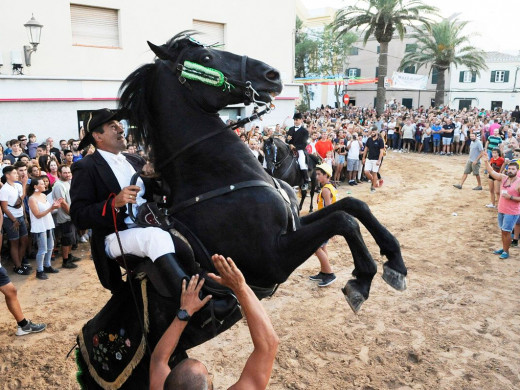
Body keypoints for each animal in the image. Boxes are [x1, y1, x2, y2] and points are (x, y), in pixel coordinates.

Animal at [75, 32, 406, 388]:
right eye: (205, 58)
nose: (272, 75)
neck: (219, 178)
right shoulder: (273, 258)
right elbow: (343, 221)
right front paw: (362, 280)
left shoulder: (292, 228)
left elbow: (352, 207)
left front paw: (395, 263)